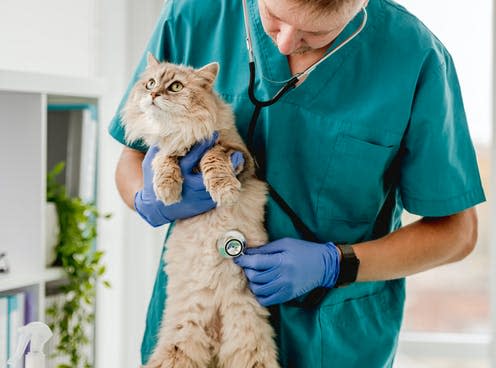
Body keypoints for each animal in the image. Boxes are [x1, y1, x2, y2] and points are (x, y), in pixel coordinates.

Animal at [121, 52, 280, 368]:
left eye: (176, 87)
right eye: (150, 83)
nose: (154, 95)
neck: (181, 133)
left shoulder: (241, 158)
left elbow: (212, 155)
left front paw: (223, 190)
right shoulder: (163, 150)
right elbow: (163, 158)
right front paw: (166, 191)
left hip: (251, 349)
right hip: (179, 345)